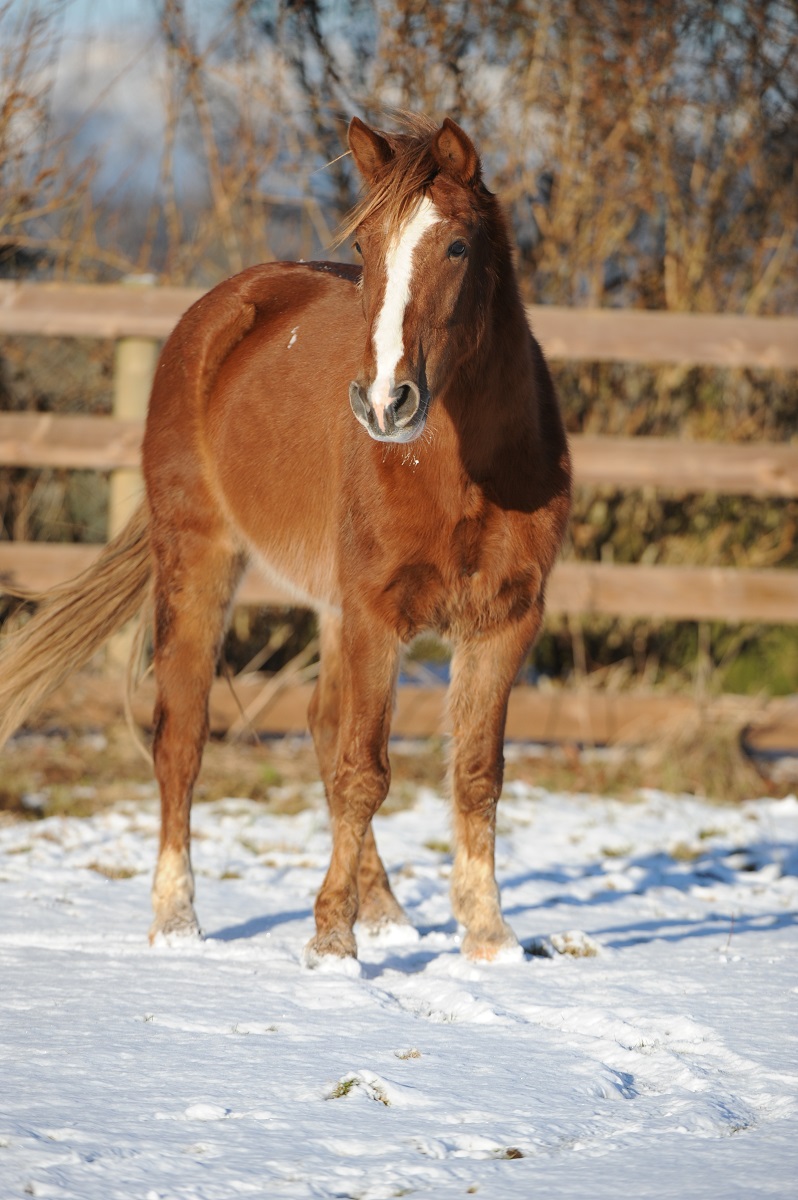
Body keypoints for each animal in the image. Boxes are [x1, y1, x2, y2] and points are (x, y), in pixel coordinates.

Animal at [0, 115, 571, 963]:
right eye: (365, 246)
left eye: (458, 246)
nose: (385, 402)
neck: (459, 470)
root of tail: (220, 309)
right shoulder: (375, 615)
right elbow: (366, 772)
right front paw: (332, 942)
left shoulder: (505, 620)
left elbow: (474, 773)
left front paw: (489, 938)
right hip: (201, 560)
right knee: (184, 738)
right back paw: (177, 922)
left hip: (331, 608)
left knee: (323, 732)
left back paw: (387, 912)